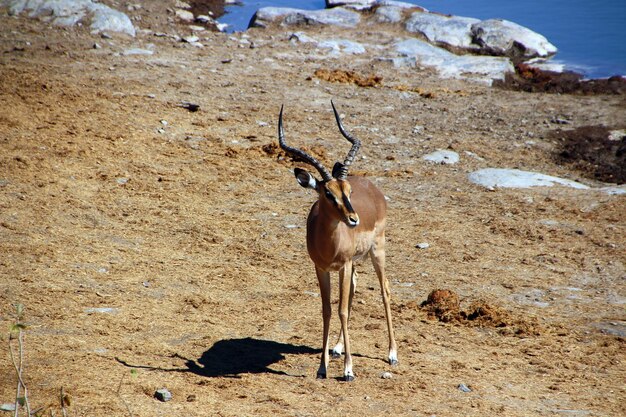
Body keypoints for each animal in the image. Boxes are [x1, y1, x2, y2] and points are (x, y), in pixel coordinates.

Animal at [276, 101, 394, 380]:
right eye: (328, 193)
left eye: (348, 191)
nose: (353, 219)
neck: (329, 243)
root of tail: (373, 187)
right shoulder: (321, 268)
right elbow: (328, 310)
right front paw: (322, 367)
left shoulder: (344, 264)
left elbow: (340, 309)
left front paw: (349, 370)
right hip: (356, 262)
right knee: (354, 288)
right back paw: (338, 348)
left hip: (377, 251)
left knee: (385, 289)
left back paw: (392, 354)